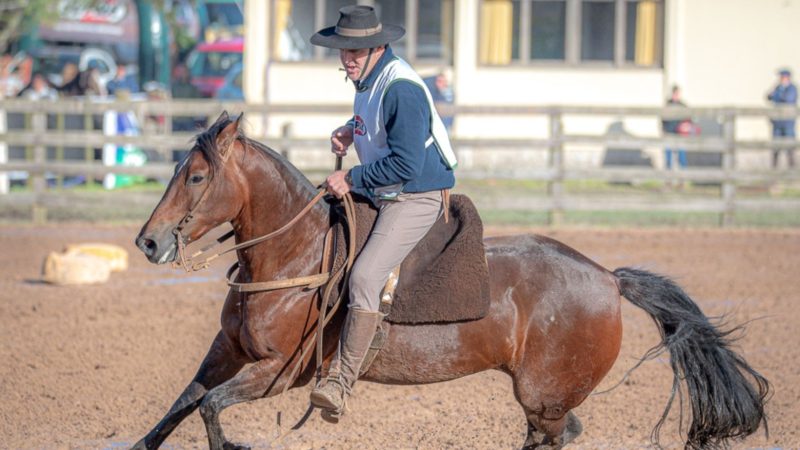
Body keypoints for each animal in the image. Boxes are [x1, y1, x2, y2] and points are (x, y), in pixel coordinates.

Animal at [131, 112, 768, 450]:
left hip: (543, 397)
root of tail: (608, 278)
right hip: (546, 400)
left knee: (554, 435)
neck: (294, 258)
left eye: (195, 177)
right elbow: (187, 400)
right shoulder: (227, 350)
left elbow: (211, 407)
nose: (149, 242)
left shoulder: (280, 374)